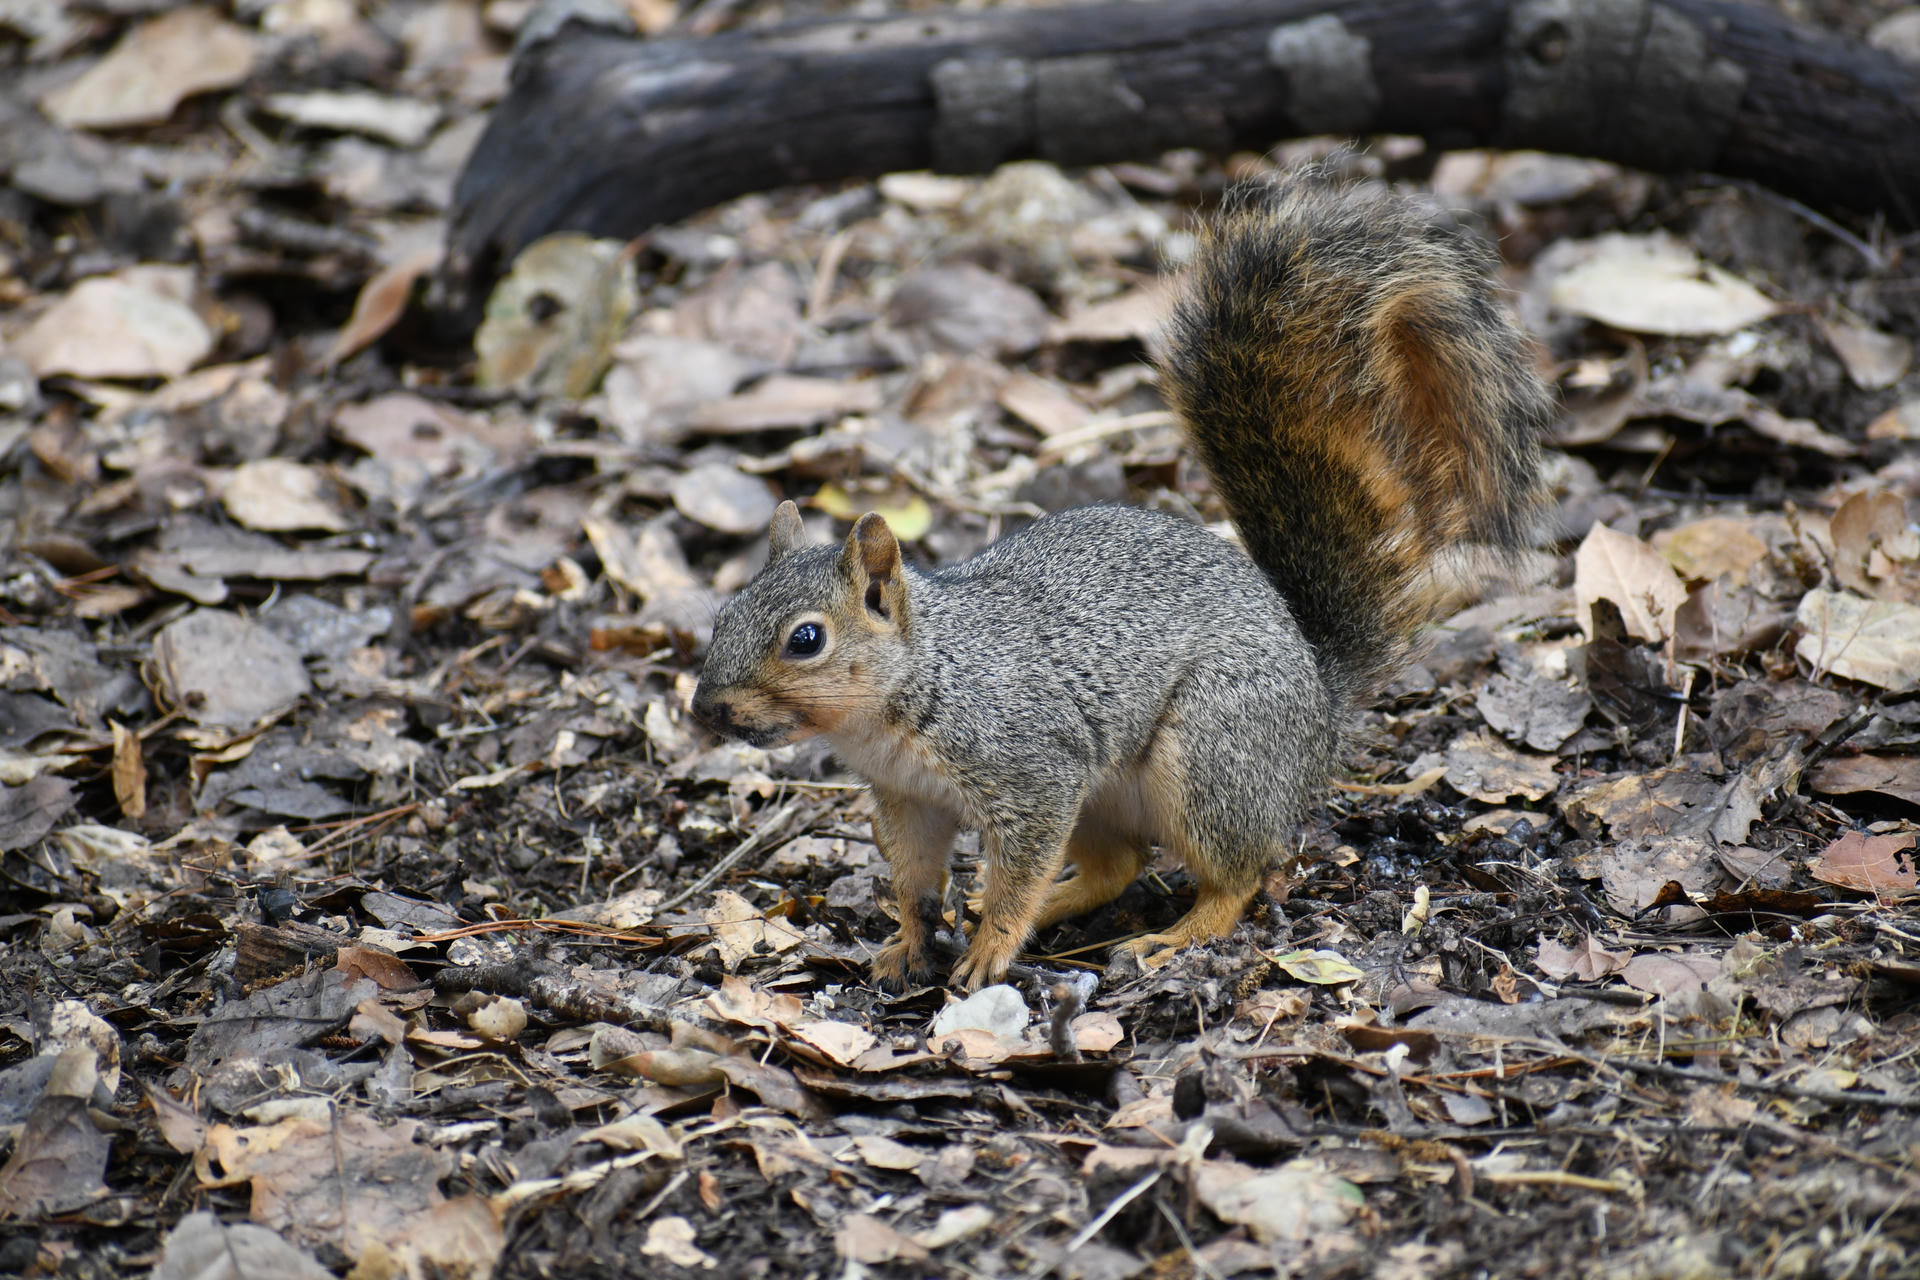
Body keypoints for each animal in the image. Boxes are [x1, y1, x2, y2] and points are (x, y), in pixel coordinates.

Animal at [691, 171, 1554, 992]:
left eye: (806, 639)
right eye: (722, 615)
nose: (705, 711)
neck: (917, 681)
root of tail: (1319, 694)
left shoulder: (1033, 770)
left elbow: (1018, 870)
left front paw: (992, 945)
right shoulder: (909, 799)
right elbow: (911, 879)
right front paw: (908, 942)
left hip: (1212, 752)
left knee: (1241, 870)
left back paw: (1175, 935)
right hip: (1107, 797)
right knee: (1118, 867)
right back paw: (1063, 901)